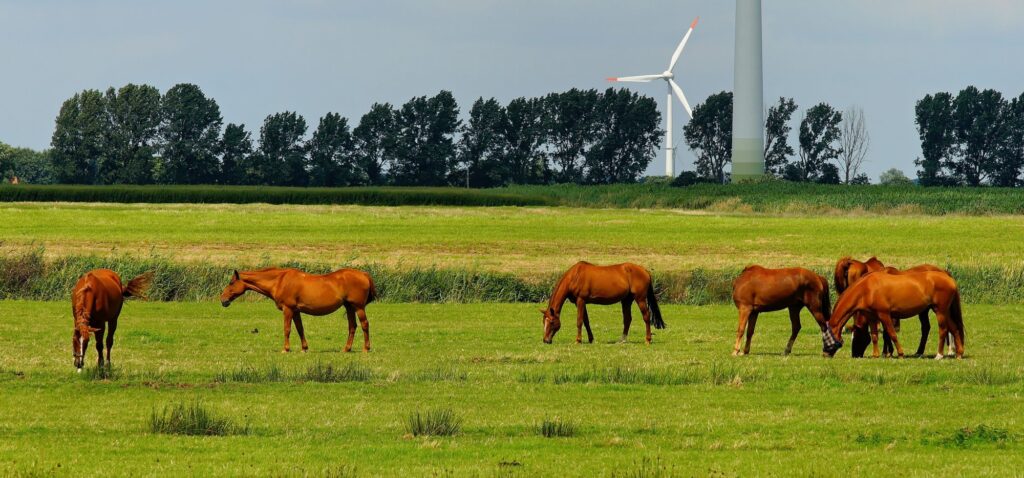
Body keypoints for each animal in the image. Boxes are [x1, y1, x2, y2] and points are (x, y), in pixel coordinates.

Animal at [220, 268, 377, 352]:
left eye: (231, 282)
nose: (223, 299)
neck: (280, 281)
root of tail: (363, 274)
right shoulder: (296, 311)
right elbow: (300, 329)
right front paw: (304, 348)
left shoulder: (288, 309)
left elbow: (287, 329)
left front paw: (286, 349)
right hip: (349, 307)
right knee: (352, 326)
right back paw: (346, 349)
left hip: (358, 307)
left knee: (364, 324)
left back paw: (366, 348)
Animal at [823, 270, 965, 359]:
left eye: (826, 339)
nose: (825, 354)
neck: (866, 289)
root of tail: (950, 279)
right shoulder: (872, 317)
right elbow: (874, 336)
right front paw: (875, 355)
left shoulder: (884, 315)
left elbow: (892, 334)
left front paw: (900, 354)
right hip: (945, 312)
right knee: (955, 329)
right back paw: (959, 354)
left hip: (940, 311)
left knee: (943, 330)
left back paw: (939, 355)